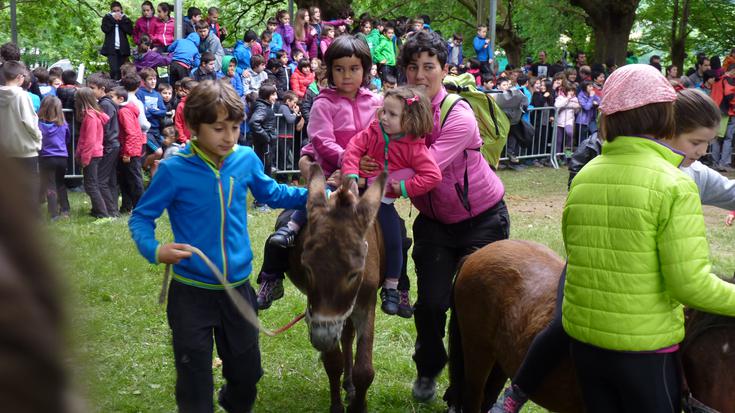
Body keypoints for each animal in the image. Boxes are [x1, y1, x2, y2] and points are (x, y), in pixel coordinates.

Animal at [286, 165, 388, 412]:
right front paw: (338, 406)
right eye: (307, 268)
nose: (322, 339)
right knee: (344, 339)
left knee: (347, 336)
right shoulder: (315, 311)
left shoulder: (366, 304)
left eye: (354, 274)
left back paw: (350, 387)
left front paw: (359, 405)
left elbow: (365, 370)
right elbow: (333, 362)